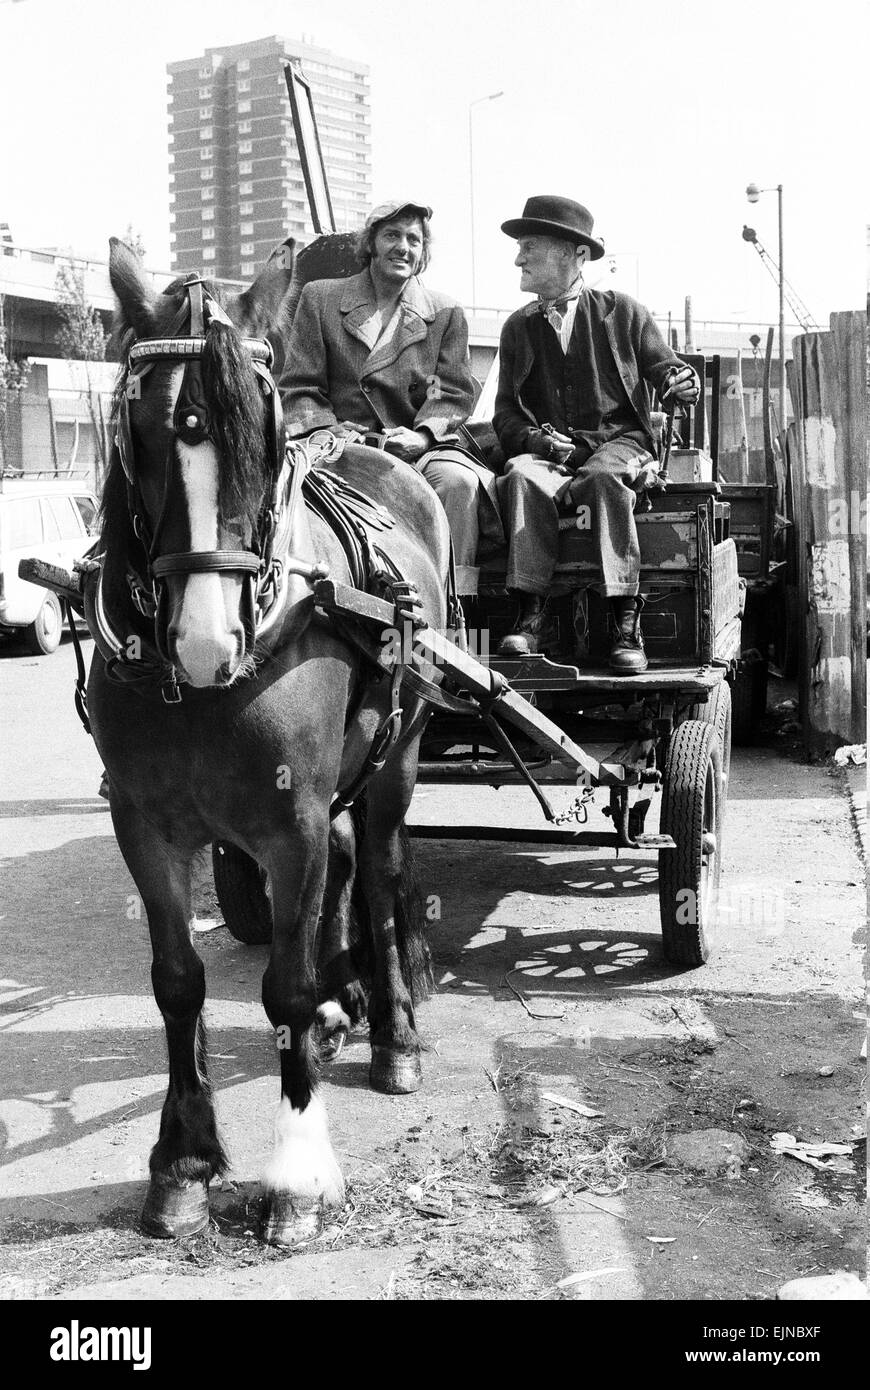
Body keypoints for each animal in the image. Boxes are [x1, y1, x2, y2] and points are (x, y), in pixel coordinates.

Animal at [90, 233, 450, 1245]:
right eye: (140, 425)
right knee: (347, 863)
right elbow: (178, 979)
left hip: (398, 755)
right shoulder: (147, 825)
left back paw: (392, 1031)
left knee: (381, 870)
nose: (207, 641)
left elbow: (281, 984)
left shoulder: (288, 820)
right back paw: (343, 1000)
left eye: (265, 429)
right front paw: (181, 1162)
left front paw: (296, 1176)